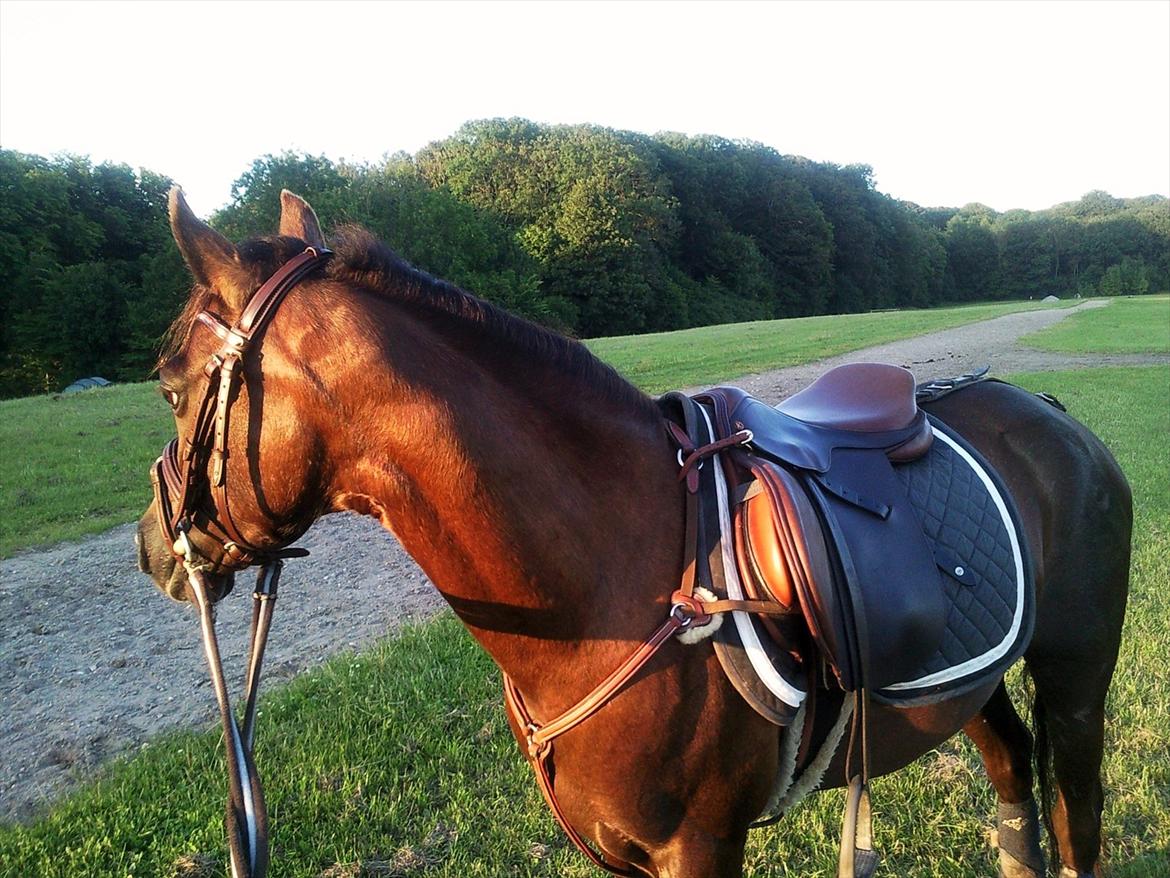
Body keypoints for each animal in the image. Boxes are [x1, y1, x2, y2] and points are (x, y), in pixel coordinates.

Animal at [136, 189, 1130, 878]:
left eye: (169, 385)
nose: (153, 550)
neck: (610, 581)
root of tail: (1051, 417)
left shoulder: (699, 846)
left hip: (1076, 681)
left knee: (1076, 812)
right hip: (970, 688)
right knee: (1015, 783)